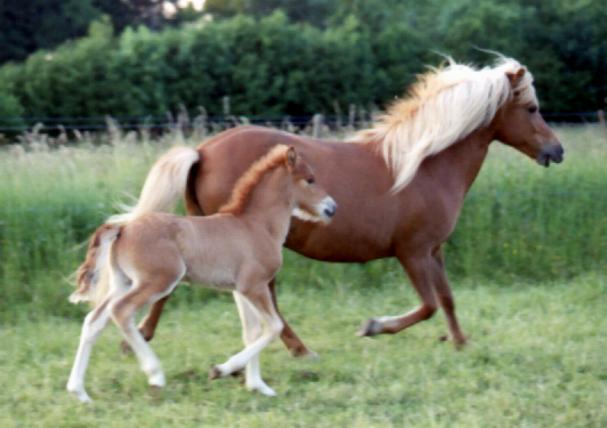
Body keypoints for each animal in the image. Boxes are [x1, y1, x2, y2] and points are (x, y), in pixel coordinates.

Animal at [66, 146, 338, 402]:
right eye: (310, 179)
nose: (332, 208)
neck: (257, 226)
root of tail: (123, 228)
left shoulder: (240, 290)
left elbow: (251, 333)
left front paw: (258, 386)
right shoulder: (254, 286)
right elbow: (273, 327)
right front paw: (221, 370)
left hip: (124, 282)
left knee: (93, 321)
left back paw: (79, 392)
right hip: (157, 282)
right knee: (121, 312)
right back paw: (155, 375)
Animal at [119, 57, 564, 358]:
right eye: (531, 109)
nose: (556, 151)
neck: (424, 165)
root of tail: (203, 151)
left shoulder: (433, 251)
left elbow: (448, 300)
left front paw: (459, 342)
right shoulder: (413, 252)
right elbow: (428, 305)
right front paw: (373, 326)